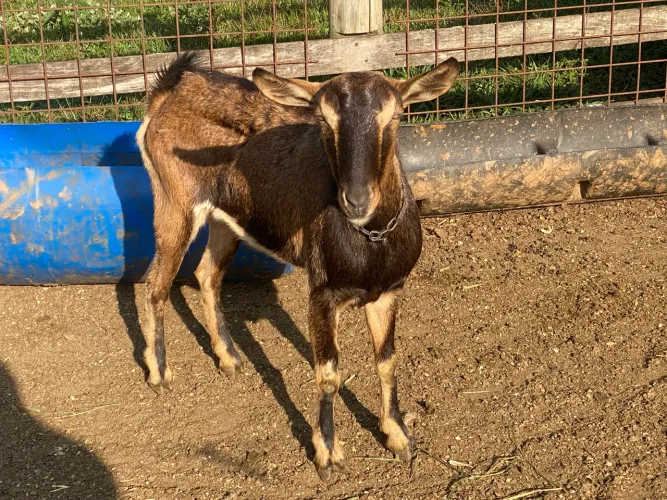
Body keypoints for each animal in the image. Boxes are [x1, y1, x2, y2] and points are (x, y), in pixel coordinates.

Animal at [136, 52, 459, 480]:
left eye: (395, 115)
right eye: (323, 119)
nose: (356, 199)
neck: (371, 241)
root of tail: (169, 93)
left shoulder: (389, 290)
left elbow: (387, 361)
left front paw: (399, 437)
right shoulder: (322, 293)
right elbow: (329, 374)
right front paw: (327, 454)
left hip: (226, 218)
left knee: (207, 274)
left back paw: (229, 358)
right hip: (175, 203)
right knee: (157, 284)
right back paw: (159, 373)